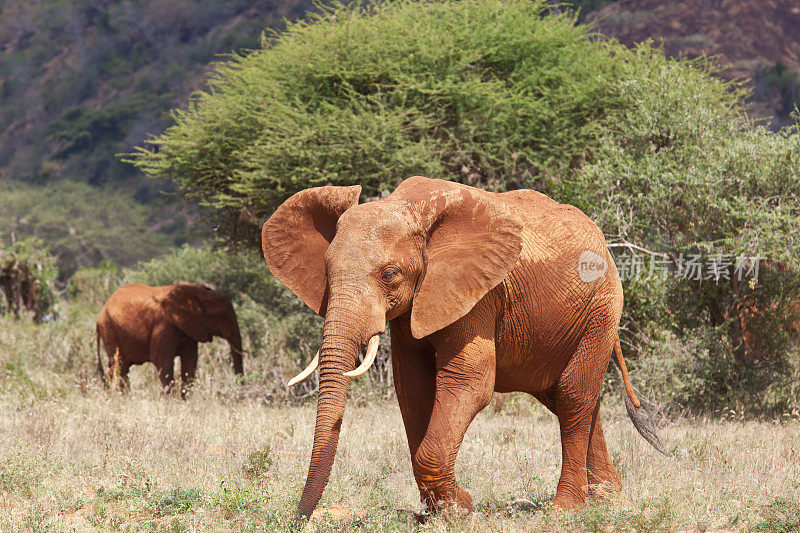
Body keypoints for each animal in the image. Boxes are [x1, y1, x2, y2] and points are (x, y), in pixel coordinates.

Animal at [95, 282, 244, 394]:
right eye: (222, 316)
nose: (240, 398)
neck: (197, 292)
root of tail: (100, 313)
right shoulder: (164, 325)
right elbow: (162, 361)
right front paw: (172, 401)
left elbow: (190, 362)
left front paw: (184, 400)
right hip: (110, 329)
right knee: (119, 365)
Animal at [262, 177, 664, 516]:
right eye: (327, 274)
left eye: (389, 275)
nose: (298, 517)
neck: (408, 208)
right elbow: (413, 387)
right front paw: (444, 510)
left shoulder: (478, 293)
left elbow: (469, 381)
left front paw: (460, 510)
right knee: (569, 399)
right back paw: (606, 500)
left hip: (601, 310)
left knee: (573, 395)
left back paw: (565, 510)